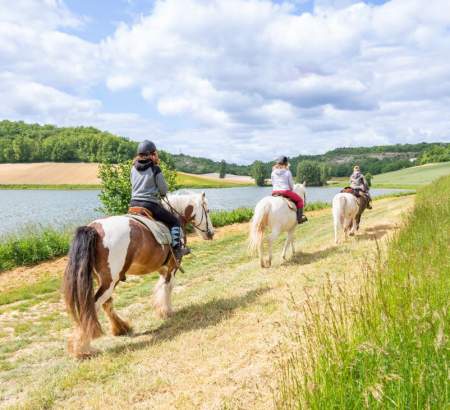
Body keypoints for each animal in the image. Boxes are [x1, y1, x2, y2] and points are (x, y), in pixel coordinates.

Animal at [62, 191, 214, 358]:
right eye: (207, 211)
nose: (211, 233)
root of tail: (94, 228)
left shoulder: (162, 268)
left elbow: (161, 286)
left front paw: (161, 309)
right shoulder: (173, 266)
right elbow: (168, 287)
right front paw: (166, 311)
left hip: (104, 279)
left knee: (106, 303)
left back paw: (121, 328)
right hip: (110, 281)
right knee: (92, 307)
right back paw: (83, 349)